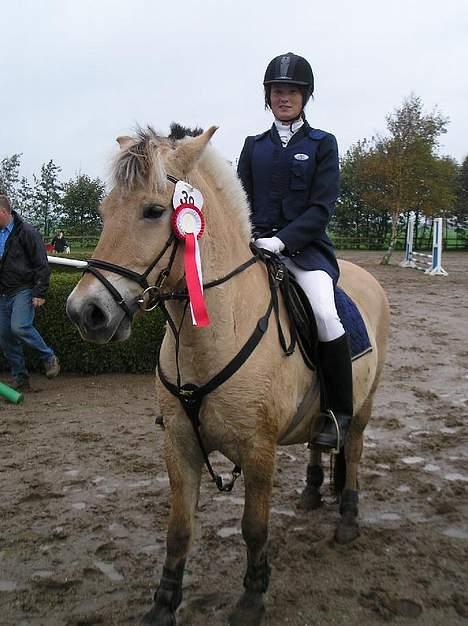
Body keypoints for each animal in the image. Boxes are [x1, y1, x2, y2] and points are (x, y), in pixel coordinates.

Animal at [65, 123, 388, 624]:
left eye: (154, 211)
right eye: (103, 212)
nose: (86, 312)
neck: (212, 335)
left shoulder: (258, 450)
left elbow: (254, 527)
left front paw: (252, 598)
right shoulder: (178, 445)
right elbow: (178, 530)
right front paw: (163, 605)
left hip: (365, 405)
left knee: (351, 451)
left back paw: (348, 518)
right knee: (321, 439)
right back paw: (313, 492)